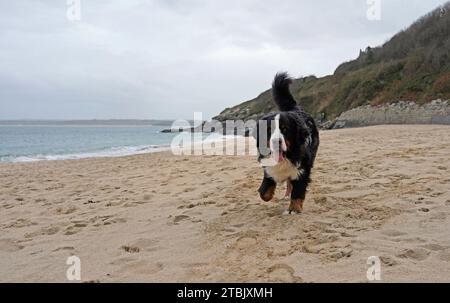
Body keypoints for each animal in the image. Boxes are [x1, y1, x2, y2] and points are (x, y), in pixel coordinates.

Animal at [253, 72, 320, 214]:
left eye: (285, 129)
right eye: (269, 130)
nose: (275, 141)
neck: (287, 156)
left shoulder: (302, 169)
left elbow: (298, 191)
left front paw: (294, 209)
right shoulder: (268, 169)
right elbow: (264, 193)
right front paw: (268, 194)